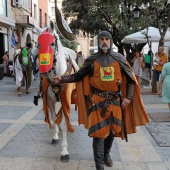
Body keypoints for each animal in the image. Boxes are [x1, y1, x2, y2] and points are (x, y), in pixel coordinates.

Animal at [34, 21, 79, 163]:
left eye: (52, 43)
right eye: (38, 44)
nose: (44, 70)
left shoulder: (65, 99)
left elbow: (64, 122)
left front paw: (64, 151)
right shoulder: (50, 100)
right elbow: (53, 118)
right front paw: (55, 136)